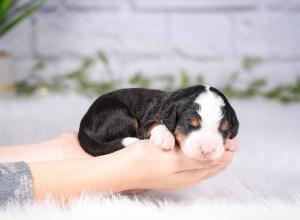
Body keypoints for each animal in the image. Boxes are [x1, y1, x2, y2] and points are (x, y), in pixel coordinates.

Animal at [77, 84, 239, 160]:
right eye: (190, 123)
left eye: (224, 129)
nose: (207, 151)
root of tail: (82, 126)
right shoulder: (145, 123)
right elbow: (154, 123)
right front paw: (164, 137)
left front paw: (229, 144)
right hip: (120, 116)